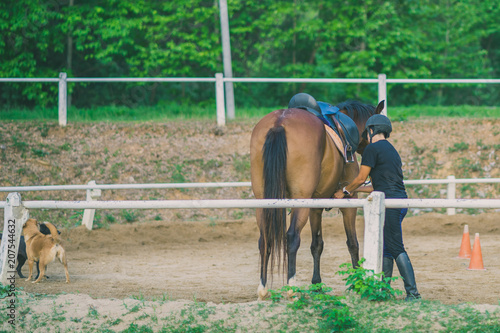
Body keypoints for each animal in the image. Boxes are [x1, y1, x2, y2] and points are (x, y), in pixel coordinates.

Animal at [249, 98, 382, 298]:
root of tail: (279, 122)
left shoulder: (315, 207)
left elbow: (317, 244)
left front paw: (317, 284)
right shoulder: (349, 203)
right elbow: (352, 243)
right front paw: (358, 281)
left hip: (263, 201)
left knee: (265, 239)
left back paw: (263, 288)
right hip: (300, 201)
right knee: (292, 237)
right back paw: (291, 288)